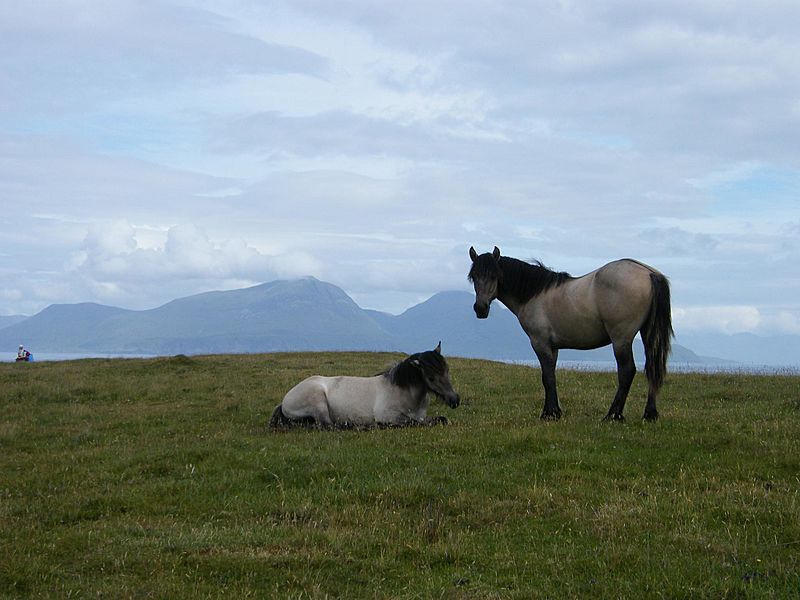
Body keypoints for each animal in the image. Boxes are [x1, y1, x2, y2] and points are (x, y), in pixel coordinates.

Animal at [269, 342, 460, 429]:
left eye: (447, 370)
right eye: (430, 377)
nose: (455, 400)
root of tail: (284, 401)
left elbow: (439, 419)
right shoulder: (388, 416)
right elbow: (413, 422)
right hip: (318, 402)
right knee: (329, 425)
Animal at [468, 246, 673, 421]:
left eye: (494, 276)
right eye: (474, 276)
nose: (480, 309)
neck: (534, 294)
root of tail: (648, 273)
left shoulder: (539, 343)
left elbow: (547, 377)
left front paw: (549, 414)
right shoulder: (553, 347)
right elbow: (551, 375)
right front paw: (554, 411)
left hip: (621, 339)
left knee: (627, 371)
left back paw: (613, 415)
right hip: (647, 334)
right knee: (652, 368)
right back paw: (649, 414)